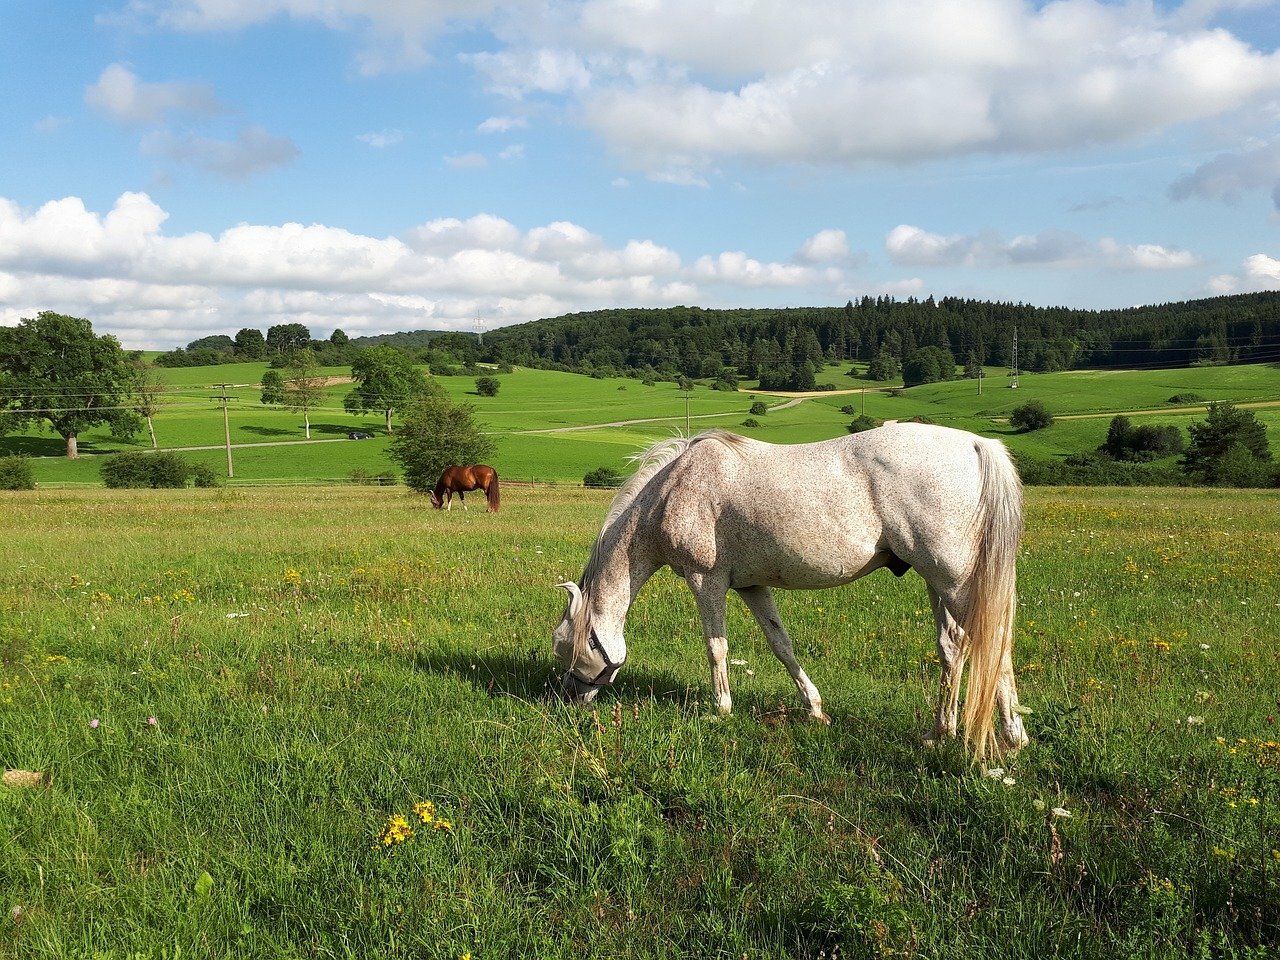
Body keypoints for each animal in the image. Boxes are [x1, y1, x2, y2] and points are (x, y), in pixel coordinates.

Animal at [550, 427, 1029, 757]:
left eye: (566, 647)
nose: (569, 699)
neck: (673, 491)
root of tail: (976, 444)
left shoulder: (706, 581)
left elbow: (716, 647)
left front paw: (721, 708)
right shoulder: (752, 586)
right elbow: (781, 645)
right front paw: (814, 708)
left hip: (955, 580)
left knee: (993, 642)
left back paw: (1012, 736)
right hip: (937, 582)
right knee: (953, 647)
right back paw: (939, 732)